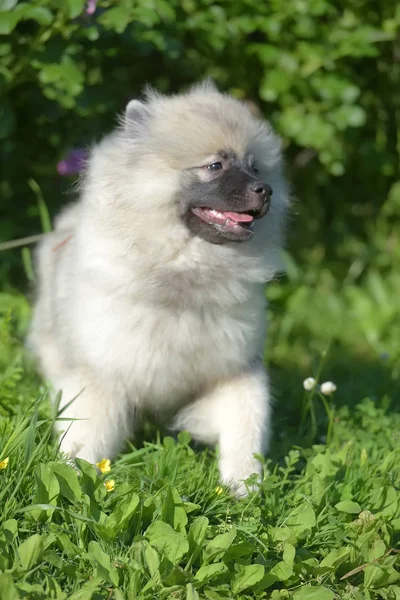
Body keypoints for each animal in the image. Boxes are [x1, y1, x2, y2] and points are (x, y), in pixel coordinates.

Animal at [29, 81, 290, 496]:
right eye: (215, 166)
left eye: (255, 167)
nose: (264, 190)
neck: (184, 272)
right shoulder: (102, 372)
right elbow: (86, 435)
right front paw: (75, 476)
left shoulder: (234, 371)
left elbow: (246, 423)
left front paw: (243, 483)